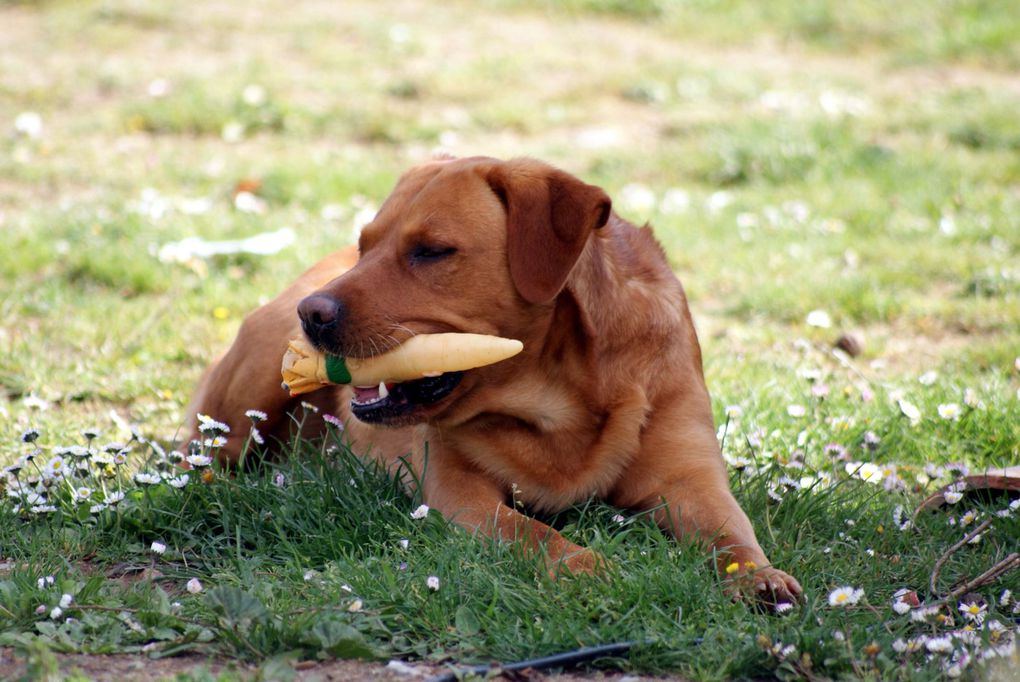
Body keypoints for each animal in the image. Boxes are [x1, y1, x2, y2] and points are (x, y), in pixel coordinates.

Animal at [185, 153, 803, 599]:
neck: (559, 397)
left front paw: (756, 575)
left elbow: (730, 533)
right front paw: (588, 564)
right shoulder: (460, 492)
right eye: (365, 246)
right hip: (254, 385)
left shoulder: (689, 479)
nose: (311, 315)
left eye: (432, 251)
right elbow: (534, 532)